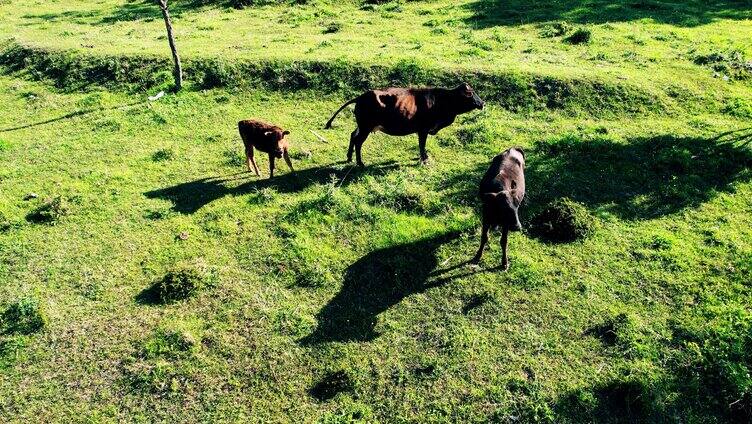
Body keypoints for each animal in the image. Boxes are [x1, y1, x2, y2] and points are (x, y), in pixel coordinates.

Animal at [324, 83, 488, 166]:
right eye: (471, 93)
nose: (483, 103)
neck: (442, 101)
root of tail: (361, 96)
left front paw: (423, 157)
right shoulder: (423, 129)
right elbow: (422, 145)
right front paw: (424, 159)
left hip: (362, 125)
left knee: (353, 135)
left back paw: (349, 158)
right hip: (366, 127)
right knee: (358, 141)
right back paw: (360, 163)